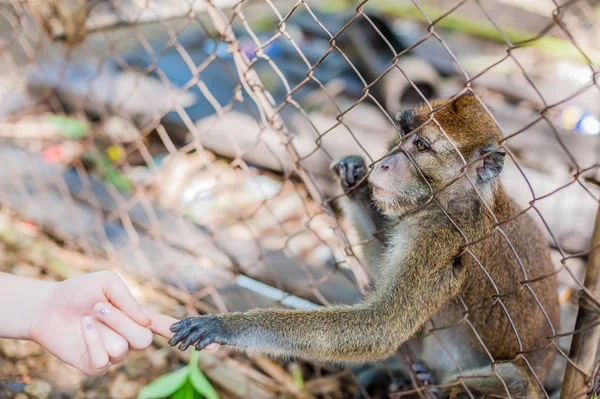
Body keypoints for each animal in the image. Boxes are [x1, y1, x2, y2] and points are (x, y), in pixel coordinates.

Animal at [168, 93, 556, 396]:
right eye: (403, 134)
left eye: (421, 146)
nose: (385, 163)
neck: (457, 199)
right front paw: (353, 181)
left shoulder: (436, 240)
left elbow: (380, 327)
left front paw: (227, 327)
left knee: (514, 381)